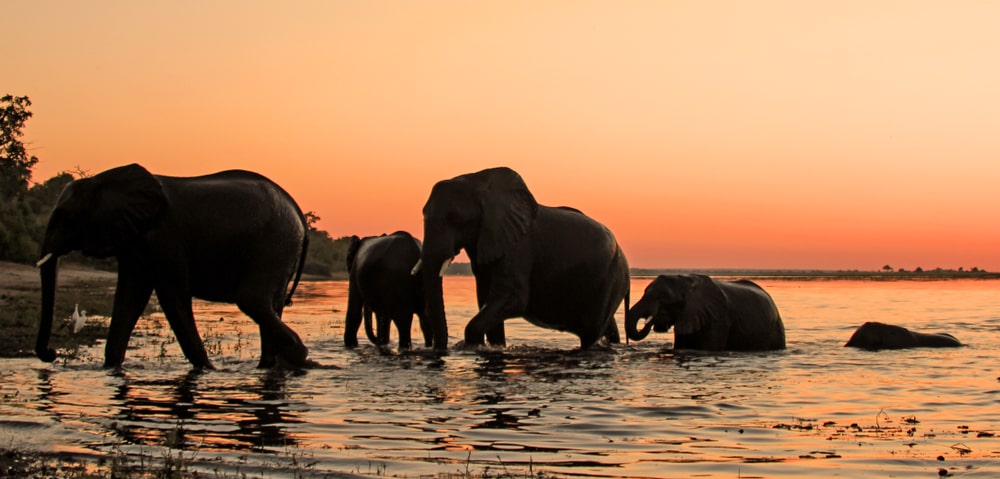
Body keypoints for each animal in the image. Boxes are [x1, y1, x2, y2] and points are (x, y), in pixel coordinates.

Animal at [35, 163, 311, 369]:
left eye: (63, 216)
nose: (51, 353)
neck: (102, 179)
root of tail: (297, 211)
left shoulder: (164, 237)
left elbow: (172, 295)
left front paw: (207, 370)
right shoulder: (135, 241)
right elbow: (130, 297)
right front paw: (111, 368)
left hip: (274, 244)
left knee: (252, 300)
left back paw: (297, 355)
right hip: (280, 247)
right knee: (269, 304)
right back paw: (273, 364)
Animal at [416, 166, 630, 350]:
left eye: (454, 218)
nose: (439, 349)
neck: (477, 181)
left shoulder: (517, 248)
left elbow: (513, 298)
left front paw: (472, 346)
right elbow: (486, 301)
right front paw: (495, 347)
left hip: (610, 279)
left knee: (591, 332)